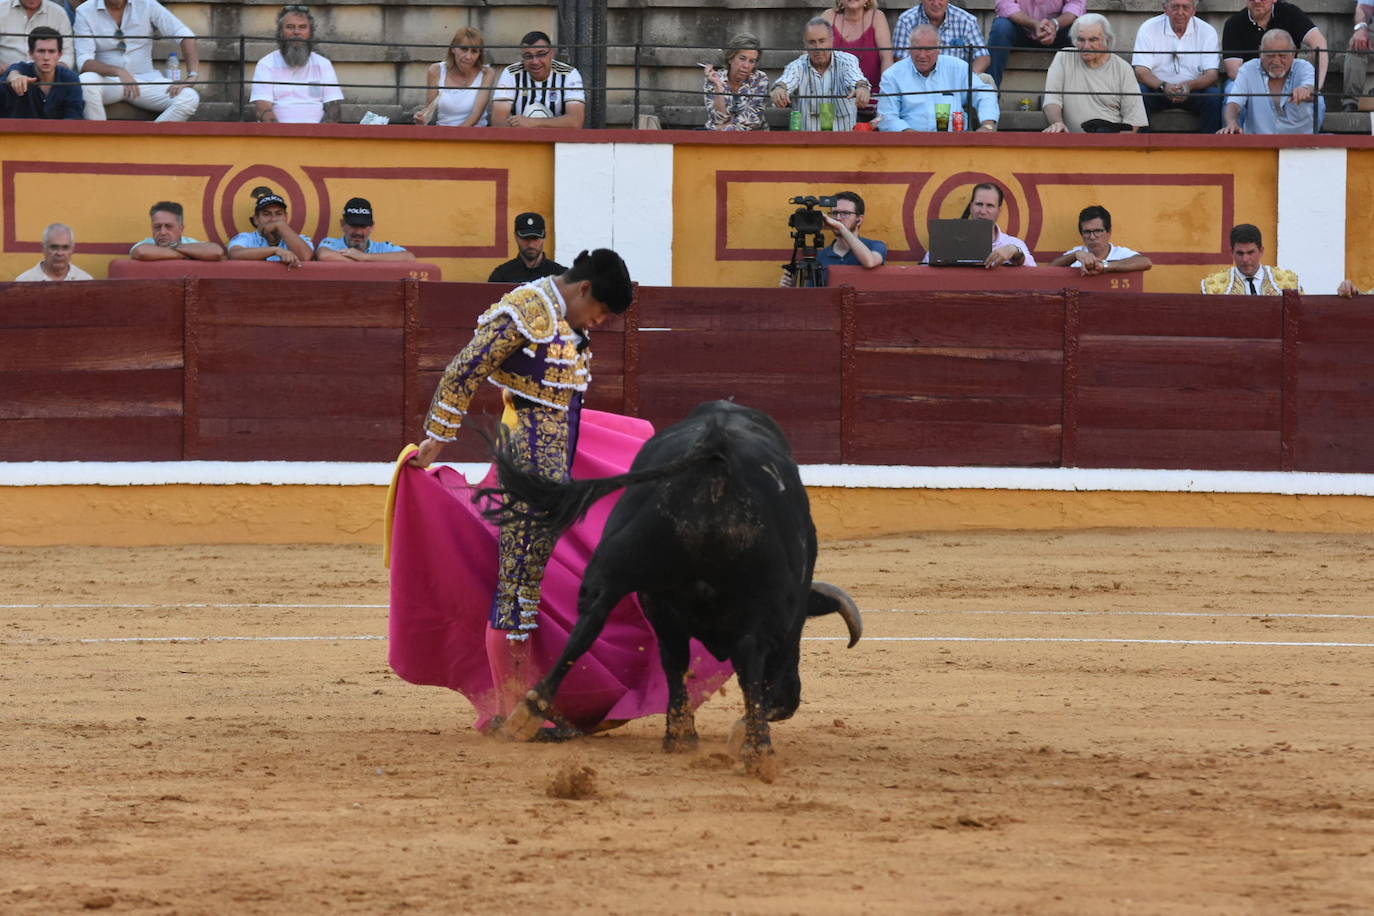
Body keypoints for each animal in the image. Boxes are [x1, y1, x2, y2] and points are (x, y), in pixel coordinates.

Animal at [491, 401, 857, 769]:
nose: (790, 699)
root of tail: (717, 456)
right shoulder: (790, 616)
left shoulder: (660, 601)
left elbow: (673, 658)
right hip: (772, 599)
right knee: (752, 656)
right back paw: (754, 743)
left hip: (620, 566)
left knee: (592, 626)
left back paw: (528, 715)